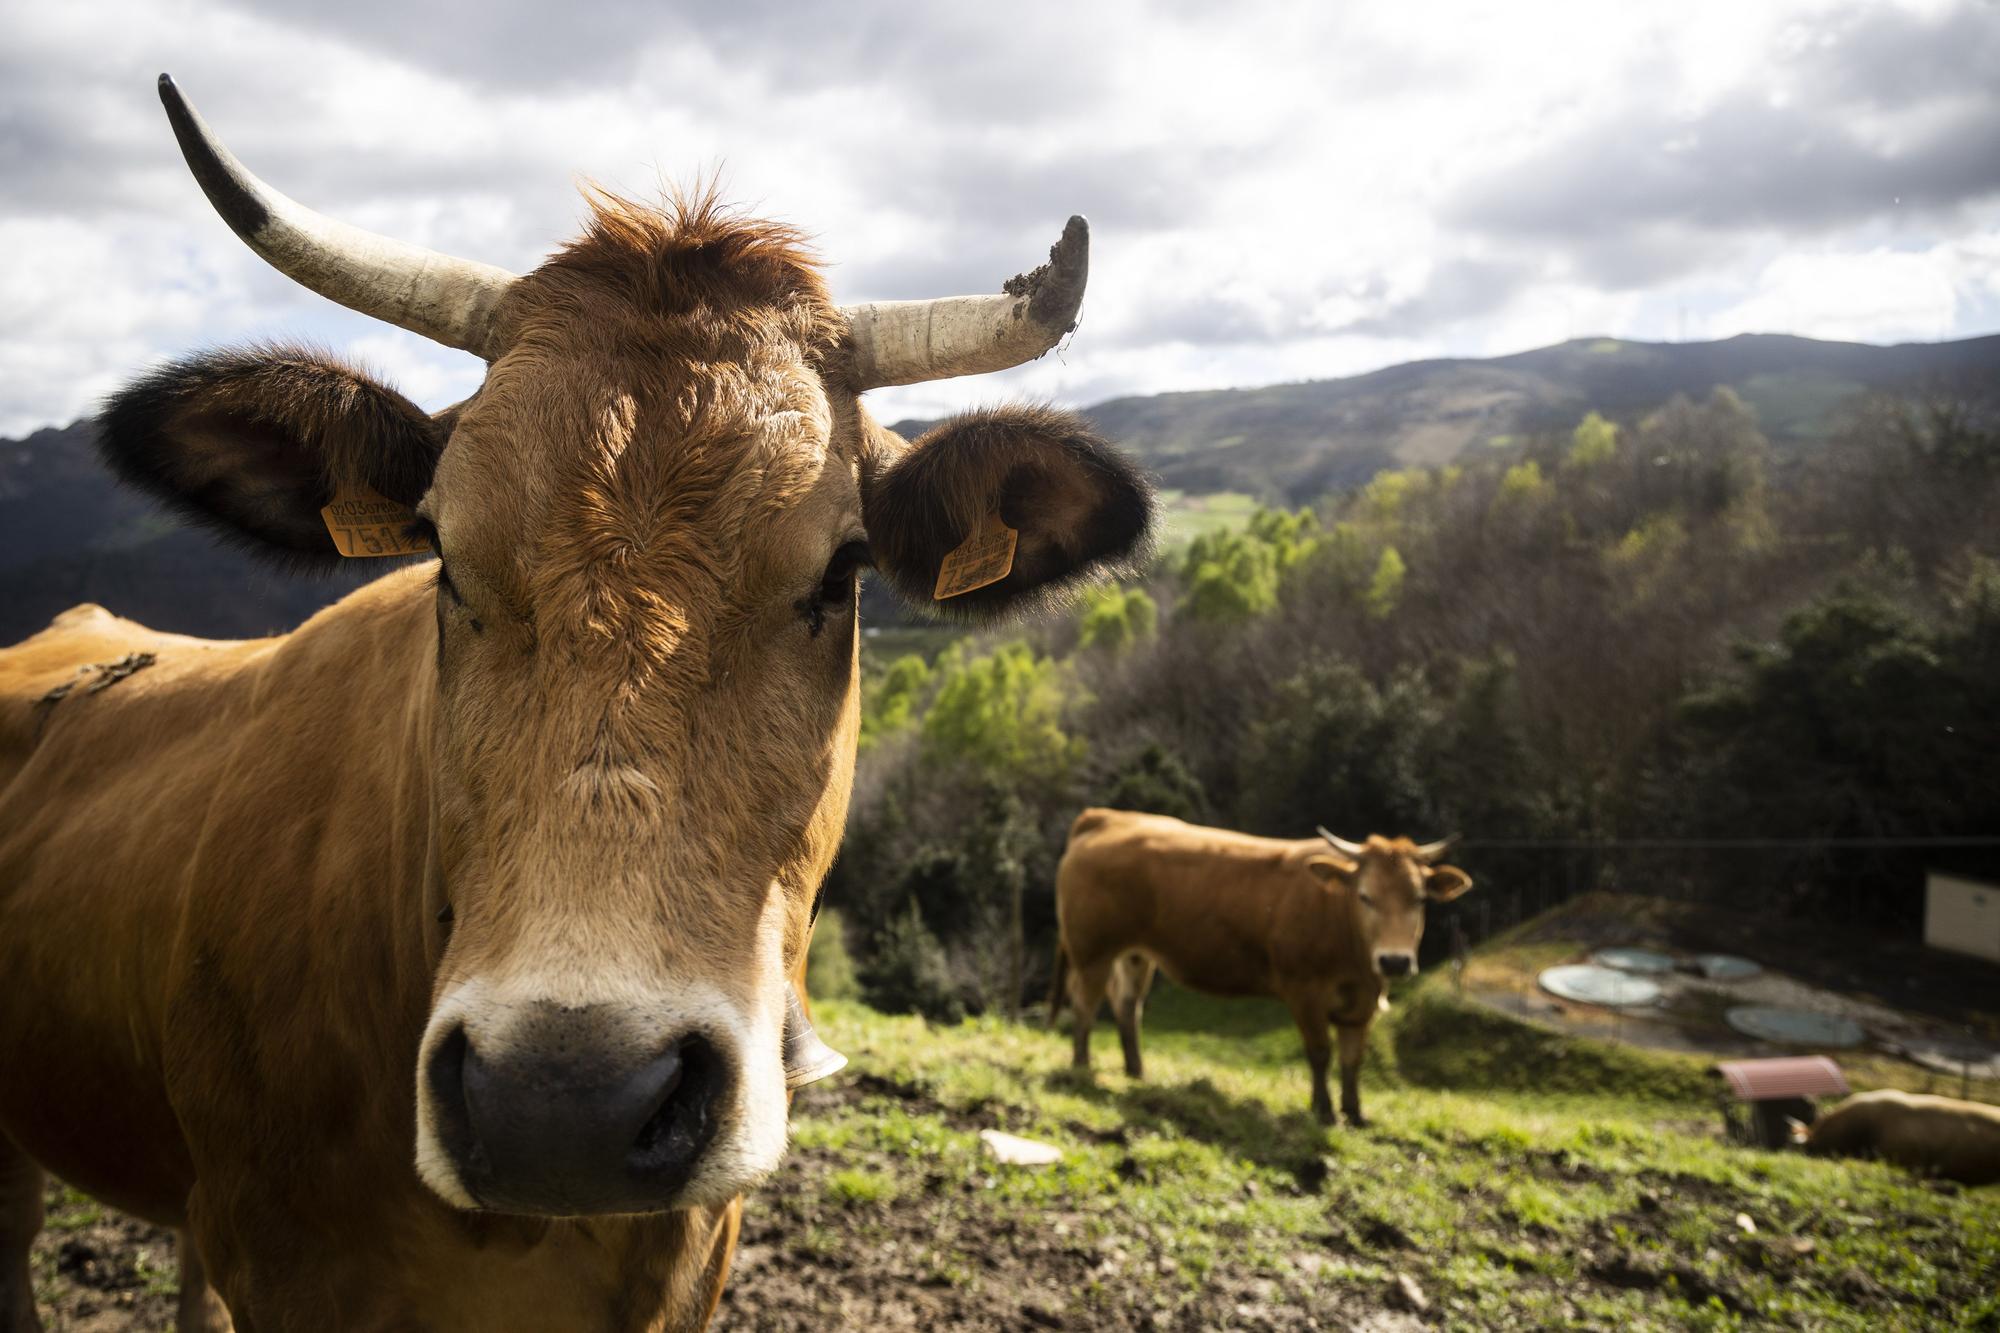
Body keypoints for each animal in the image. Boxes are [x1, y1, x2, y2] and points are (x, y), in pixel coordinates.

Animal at [1048, 808, 1472, 1120]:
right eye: (1365, 896)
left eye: (1419, 898)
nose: (1395, 960)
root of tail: (1108, 817)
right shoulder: (1304, 990)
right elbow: (1320, 1051)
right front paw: (1323, 1111)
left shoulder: (1362, 1002)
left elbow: (1353, 1059)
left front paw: (1354, 1113)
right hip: (1092, 950)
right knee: (1084, 1004)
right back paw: (1082, 1066)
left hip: (1135, 954)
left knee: (1127, 1004)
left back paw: (1136, 1072)